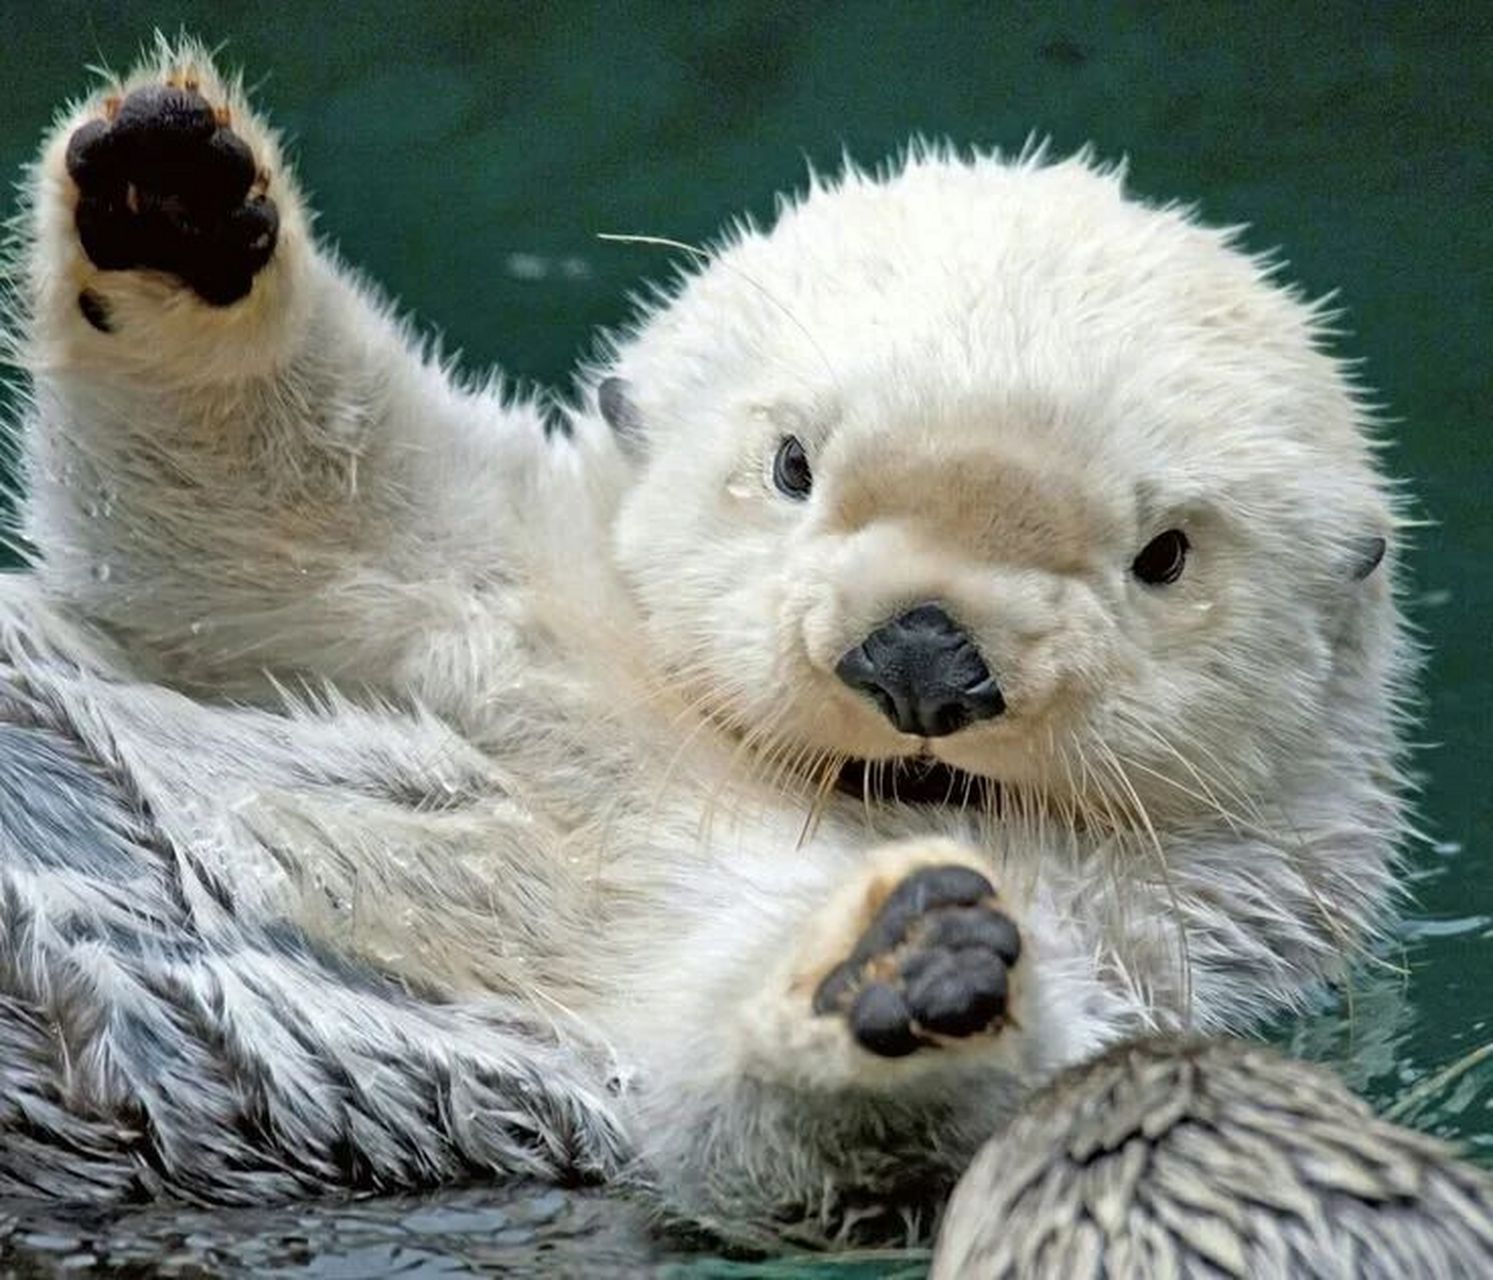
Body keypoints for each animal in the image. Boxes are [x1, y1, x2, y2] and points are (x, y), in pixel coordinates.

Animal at [0, 38, 1408, 1244]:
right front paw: (174, 198)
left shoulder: (1154, 948)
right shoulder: (502, 597)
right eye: (791, 465)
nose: (920, 659)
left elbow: (750, 1120)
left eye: (1162, 555)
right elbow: (268, 516)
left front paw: (903, 967)